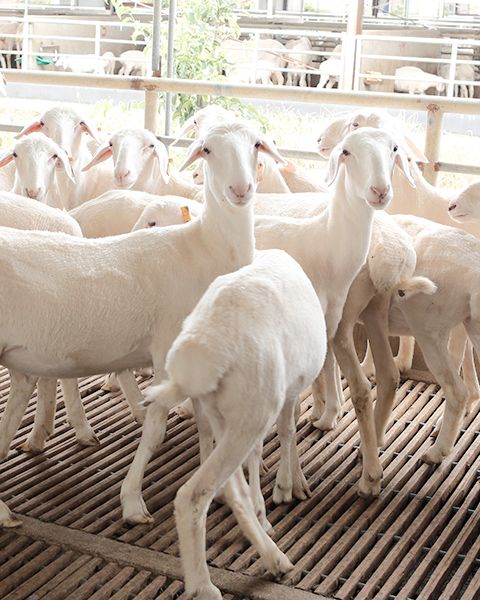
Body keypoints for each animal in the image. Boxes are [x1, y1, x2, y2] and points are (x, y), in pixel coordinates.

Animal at [0, 120, 286, 528]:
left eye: (257, 144)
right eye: (208, 149)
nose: (241, 190)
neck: (205, 248)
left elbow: (205, 426)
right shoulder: (165, 353)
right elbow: (154, 432)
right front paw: (133, 502)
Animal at [140, 248, 326, 599]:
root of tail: (202, 350)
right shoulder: (289, 390)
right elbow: (288, 429)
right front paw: (286, 487)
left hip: (229, 413)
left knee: (233, 487)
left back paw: (273, 557)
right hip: (253, 408)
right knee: (193, 495)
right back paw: (203, 586)